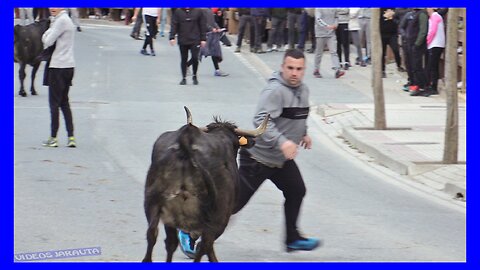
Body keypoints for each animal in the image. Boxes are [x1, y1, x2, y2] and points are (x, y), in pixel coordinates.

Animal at [142, 107, 270, 262]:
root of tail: (186, 140)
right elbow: (206, 246)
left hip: (154, 204)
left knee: (155, 235)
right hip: (215, 216)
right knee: (204, 244)